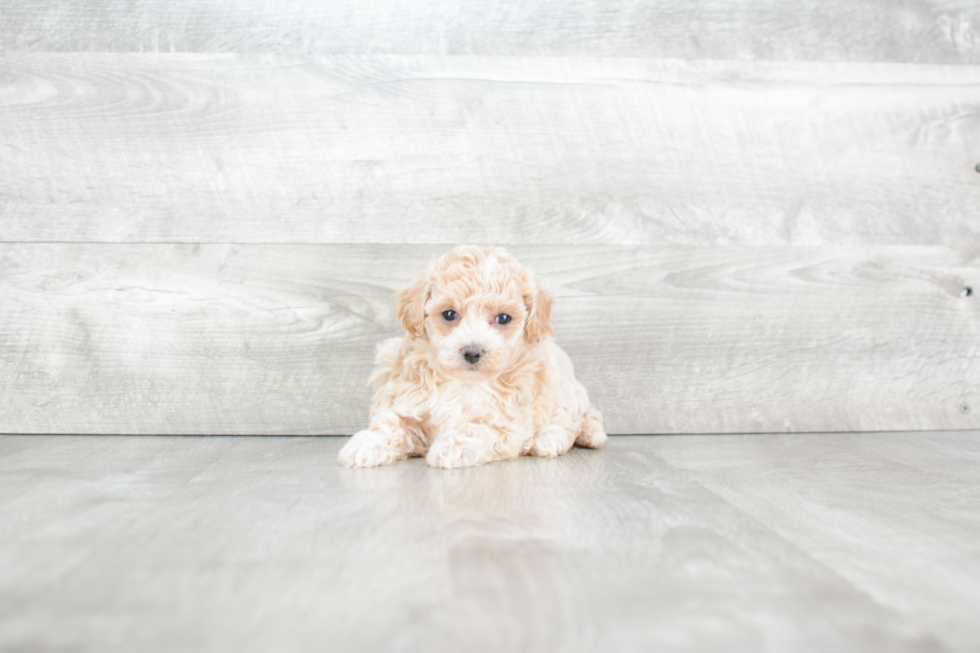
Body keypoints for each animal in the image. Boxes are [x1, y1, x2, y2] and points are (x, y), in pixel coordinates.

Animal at [340, 242, 608, 466]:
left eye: (503, 318)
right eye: (449, 314)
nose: (472, 352)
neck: (464, 383)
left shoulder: (506, 425)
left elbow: (476, 431)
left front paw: (451, 447)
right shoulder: (411, 404)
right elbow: (391, 423)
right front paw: (367, 443)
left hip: (566, 389)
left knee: (577, 418)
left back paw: (551, 438)